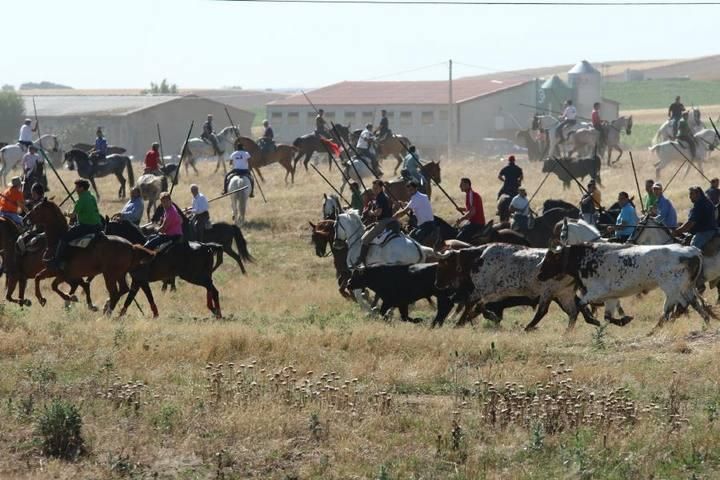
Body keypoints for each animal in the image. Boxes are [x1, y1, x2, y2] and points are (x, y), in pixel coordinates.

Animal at [26, 198, 155, 314]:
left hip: (109, 275)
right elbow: (38, 277)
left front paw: (68, 297)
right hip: (119, 274)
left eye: (37, 208)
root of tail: (131, 246)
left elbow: (54, 285)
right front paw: (42, 299)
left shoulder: (61, 273)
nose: (26, 218)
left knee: (114, 292)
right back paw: (107, 308)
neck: (56, 241)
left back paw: (107, 310)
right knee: (123, 289)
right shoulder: (53, 271)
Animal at [536, 244, 712, 330]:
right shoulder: (610, 297)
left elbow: (580, 304)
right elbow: (607, 317)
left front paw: (593, 320)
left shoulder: (596, 292)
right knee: (694, 304)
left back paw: (654, 330)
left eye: (549, 259)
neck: (585, 259)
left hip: (672, 288)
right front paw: (624, 320)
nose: (538, 274)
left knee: (673, 308)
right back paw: (707, 324)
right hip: (685, 288)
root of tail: (693, 250)